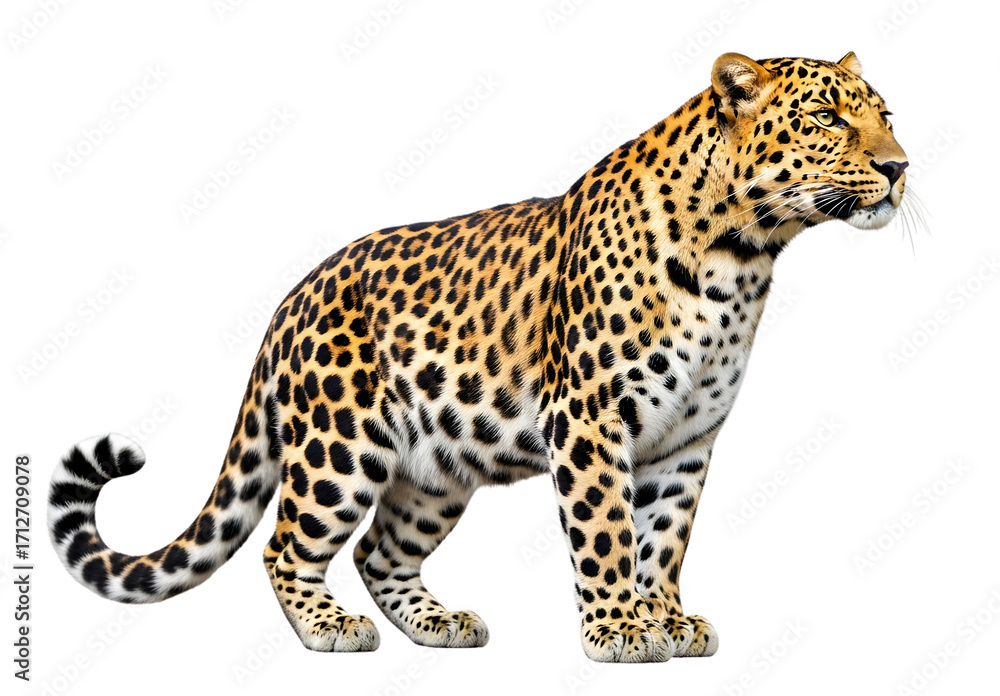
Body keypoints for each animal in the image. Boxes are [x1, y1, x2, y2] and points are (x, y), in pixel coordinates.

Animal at [49, 52, 908, 663]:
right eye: (828, 116)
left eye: (886, 117)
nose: (899, 167)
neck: (742, 253)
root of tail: (289, 301)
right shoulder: (591, 417)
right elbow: (607, 528)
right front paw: (620, 631)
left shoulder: (688, 439)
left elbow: (664, 537)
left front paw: (665, 618)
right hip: (339, 449)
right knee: (284, 546)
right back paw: (331, 626)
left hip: (435, 471)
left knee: (380, 554)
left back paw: (441, 623)